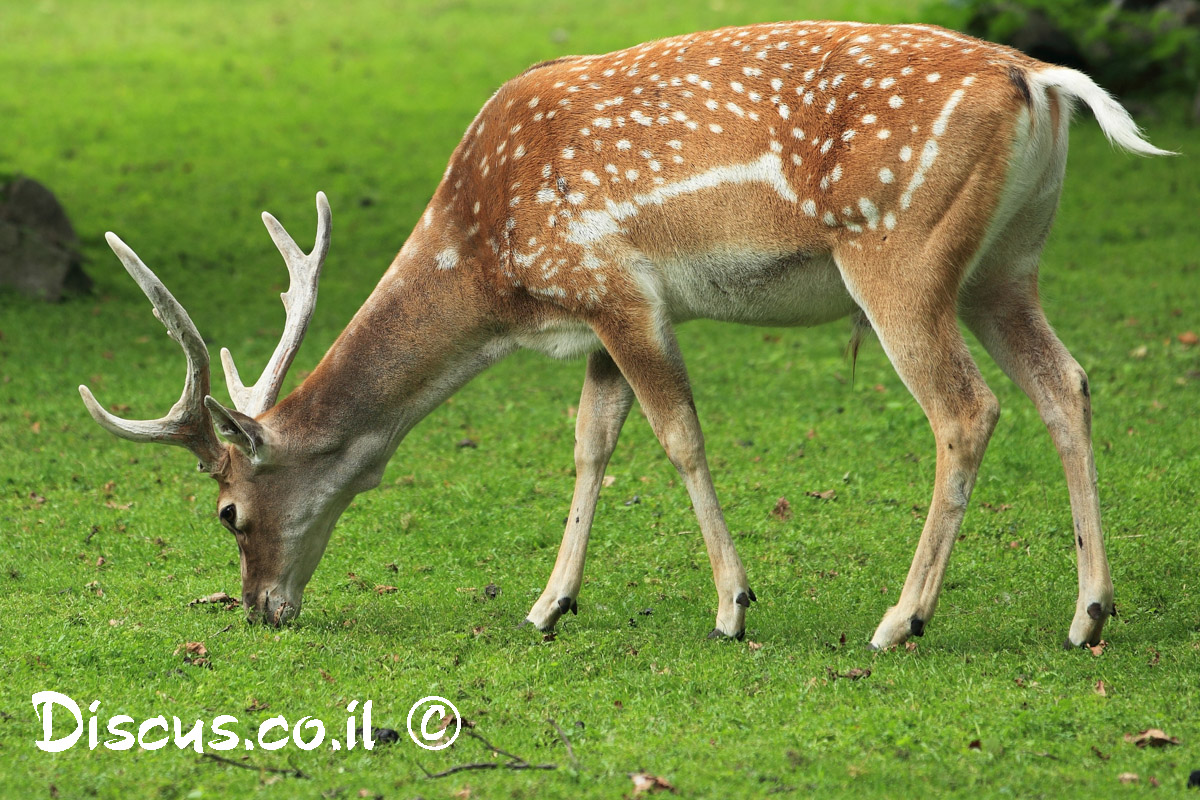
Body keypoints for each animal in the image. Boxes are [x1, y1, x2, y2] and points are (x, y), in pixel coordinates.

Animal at [82, 21, 1171, 647]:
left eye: (228, 513)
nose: (261, 607)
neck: (493, 275)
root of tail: (1044, 82)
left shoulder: (617, 288)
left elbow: (678, 436)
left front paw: (733, 606)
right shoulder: (596, 317)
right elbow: (591, 443)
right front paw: (548, 604)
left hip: (900, 253)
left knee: (967, 409)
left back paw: (901, 619)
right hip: (1004, 266)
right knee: (1066, 382)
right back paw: (1089, 612)